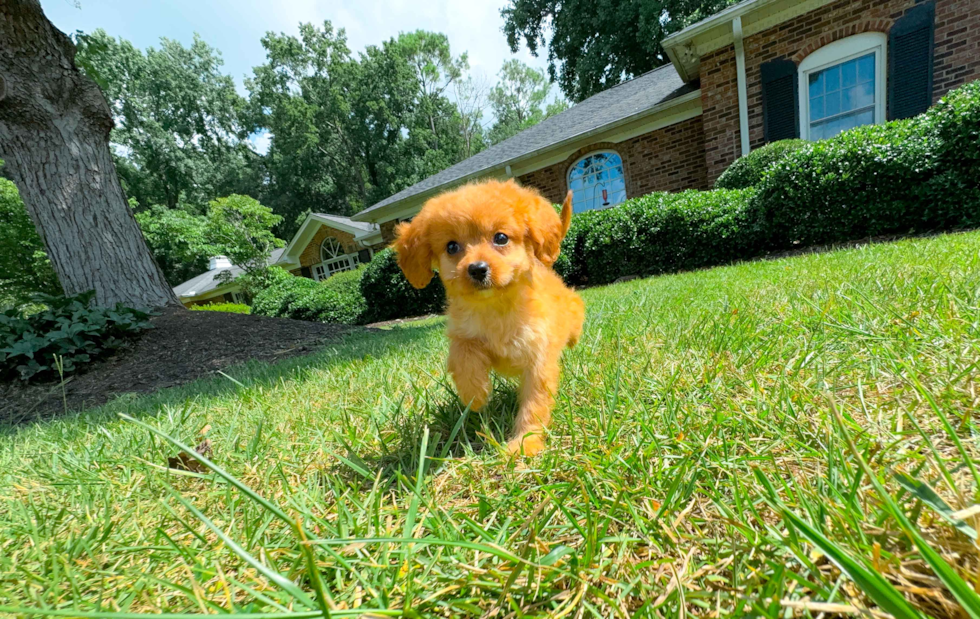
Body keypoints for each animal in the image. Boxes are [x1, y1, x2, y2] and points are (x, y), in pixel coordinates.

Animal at [396, 178, 584, 456]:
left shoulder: (538, 362)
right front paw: (475, 394)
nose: (477, 269)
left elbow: (534, 405)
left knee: (576, 310)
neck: (496, 308)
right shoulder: (463, 334)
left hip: (570, 312)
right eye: (452, 246)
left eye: (501, 238)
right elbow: (463, 357)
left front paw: (525, 442)